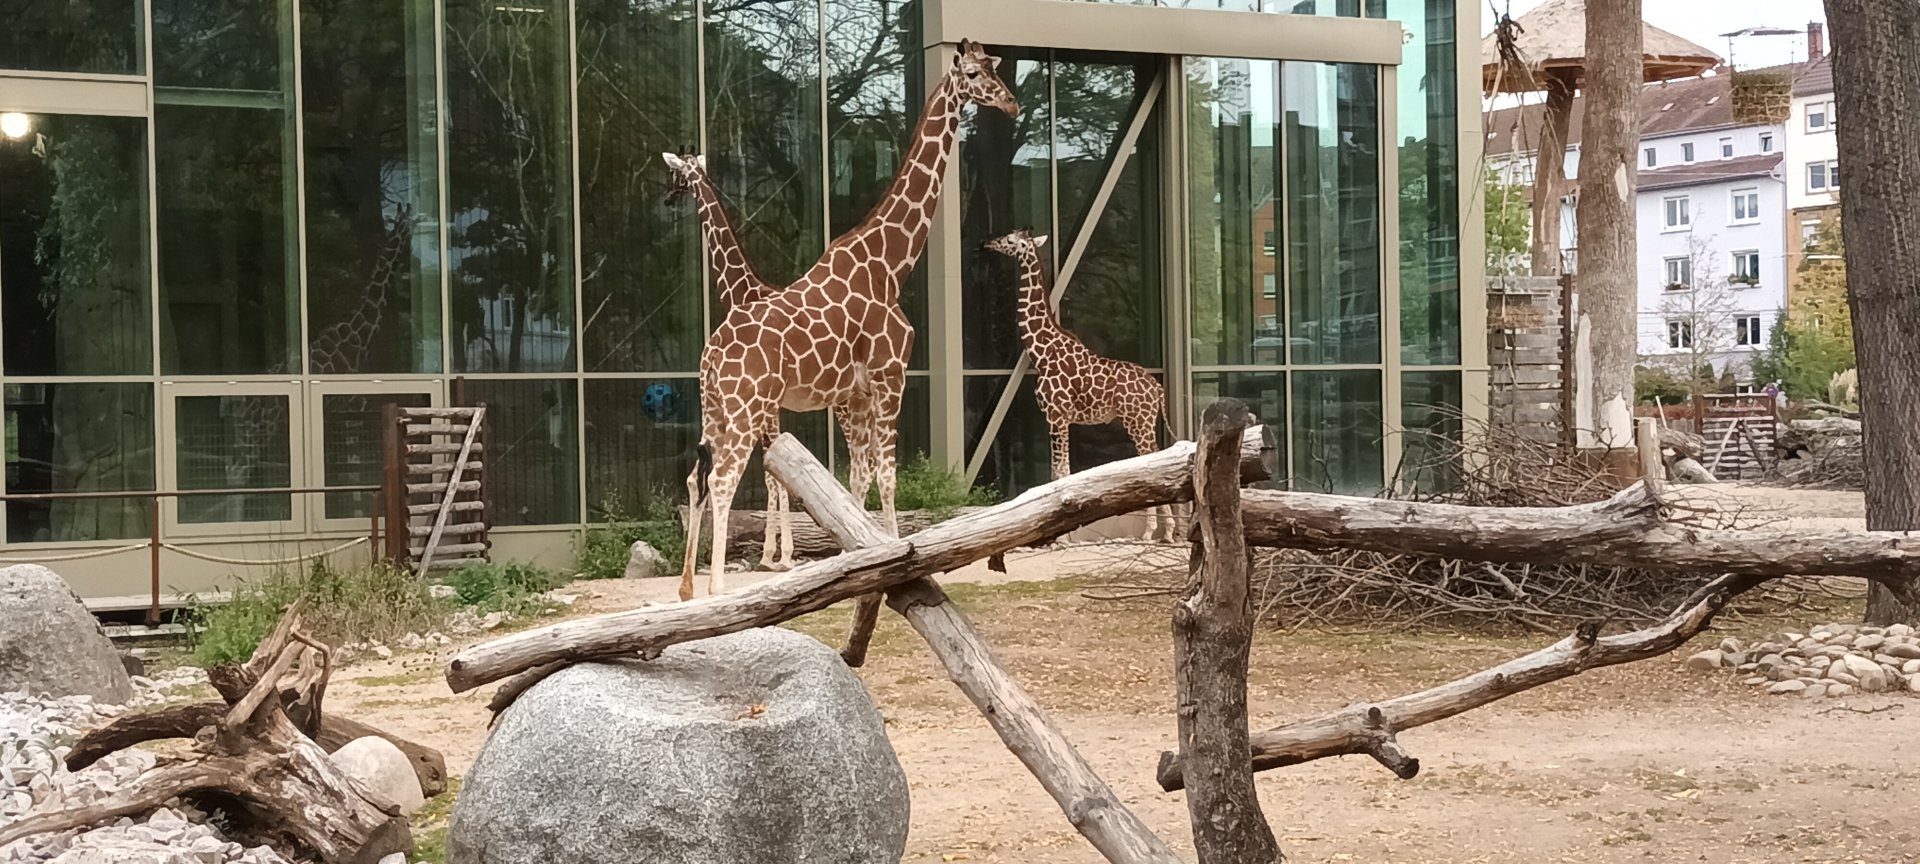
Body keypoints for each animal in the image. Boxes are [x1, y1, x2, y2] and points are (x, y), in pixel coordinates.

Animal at [661, 150, 870, 570]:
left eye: (675, 175)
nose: (667, 198)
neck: (741, 291)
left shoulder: (766, 407)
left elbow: (773, 477)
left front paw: (779, 555)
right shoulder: (766, 408)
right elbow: (773, 474)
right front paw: (775, 552)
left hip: (842, 403)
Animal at [984, 228, 1172, 540]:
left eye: (1010, 241)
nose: (987, 243)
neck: (1041, 352)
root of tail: (1158, 390)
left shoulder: (1056, 416)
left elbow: (1058, 473)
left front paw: (1061, 538)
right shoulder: (1060, 419)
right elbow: (1064, 473)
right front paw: (1065, 533)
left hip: (1138, 422)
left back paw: (1154, 533)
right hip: (1142, 422)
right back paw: (1165, 533)